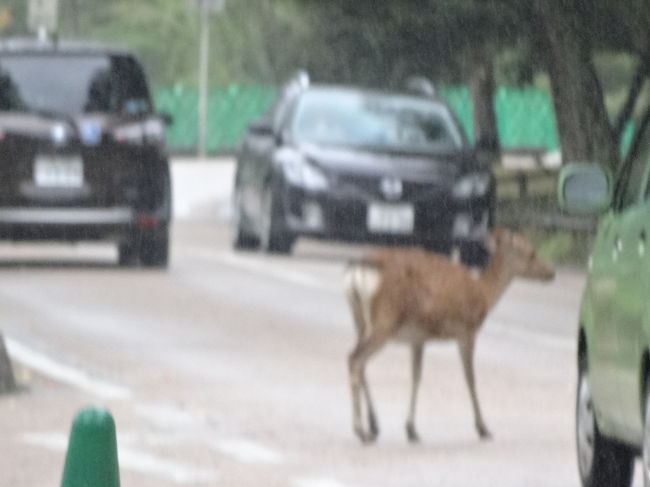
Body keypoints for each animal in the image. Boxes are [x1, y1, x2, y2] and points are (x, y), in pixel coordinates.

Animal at [343, 227, 555, 444]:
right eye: (530, 253)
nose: (551, 273)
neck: (484, 294)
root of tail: (356, 273)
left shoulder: (418, 338)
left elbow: (416, 376)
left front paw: (411, 429)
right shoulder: (466, 331)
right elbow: (470, 378)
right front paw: (483, 428)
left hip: (360, 320)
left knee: (359, 362)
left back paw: (373, 426)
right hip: (385, 321)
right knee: (355, 359)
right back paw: (361, 430)